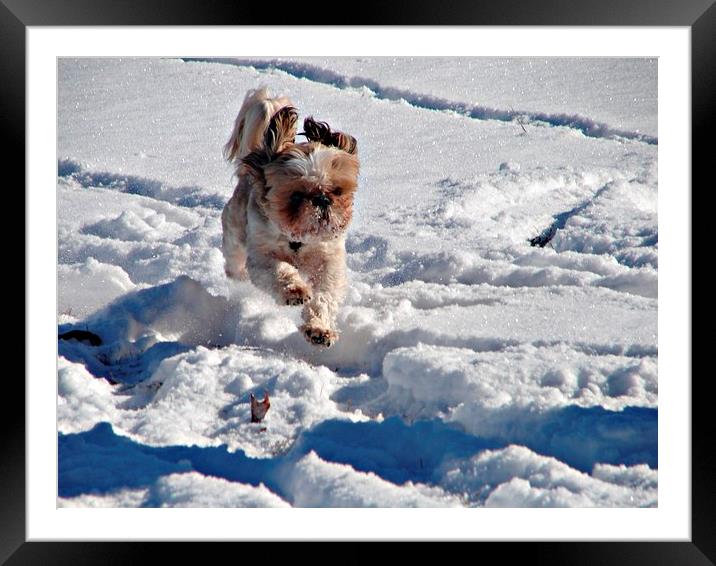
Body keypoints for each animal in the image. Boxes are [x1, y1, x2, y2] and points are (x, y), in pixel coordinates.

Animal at [222, 87, 360, 350]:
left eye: (337, 191)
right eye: (296, 196)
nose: (322, 200)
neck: (298, 240)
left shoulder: (329, 260)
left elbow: (324, 296)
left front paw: (319, 328)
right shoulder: (262, 256)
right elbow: (280, 270)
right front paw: (295, 291)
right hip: (234, 232)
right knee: (234, 260)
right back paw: (237, 276)